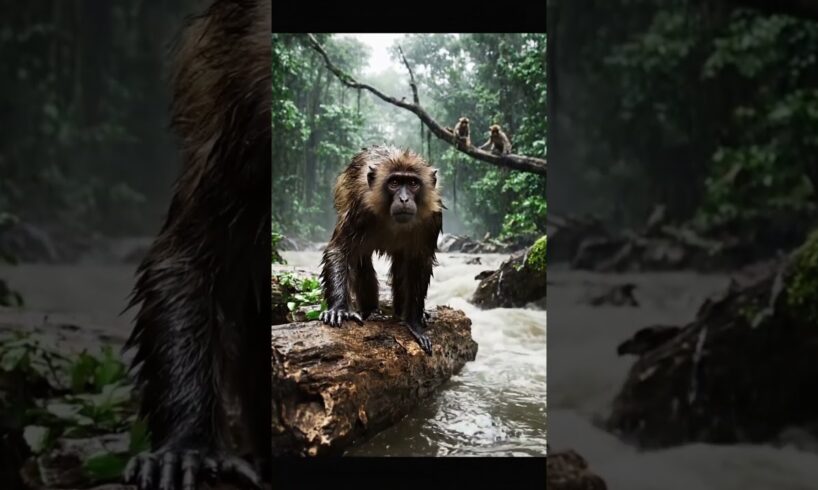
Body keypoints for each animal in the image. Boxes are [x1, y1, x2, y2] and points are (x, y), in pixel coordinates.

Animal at [319, 146, 443, 355]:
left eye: (412, 183)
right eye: (394, 183)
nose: (404, 199)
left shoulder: (432, 218)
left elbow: (420, 262)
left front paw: (414, 322)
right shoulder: (359, 208)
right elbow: (339, 250)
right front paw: (339, 308)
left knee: (402, 265)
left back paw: (401, 312)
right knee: (361, 261)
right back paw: (370, 311)